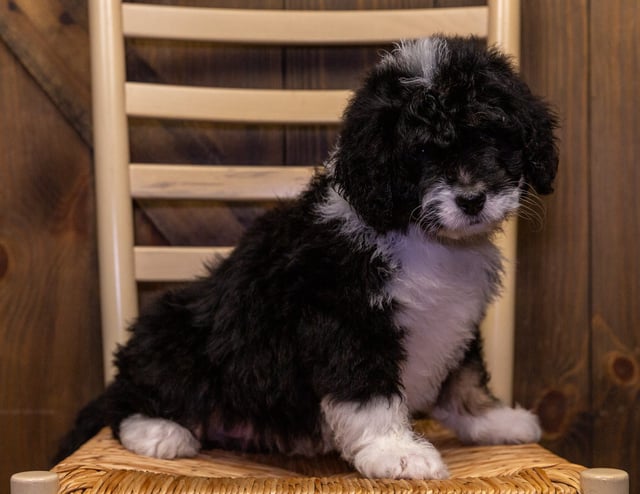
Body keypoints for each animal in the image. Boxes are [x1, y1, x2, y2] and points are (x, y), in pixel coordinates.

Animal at [61, 37, 560, 478]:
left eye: (492, 135)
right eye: (420, 151)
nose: (472, 199)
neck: (422, 235)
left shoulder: (456, 318)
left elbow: (465, 376)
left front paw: (490, 420)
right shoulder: (346, 320)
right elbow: (369, 392)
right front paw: (396, 453)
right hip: (172, 331)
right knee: (131, 396)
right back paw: (161, 431)